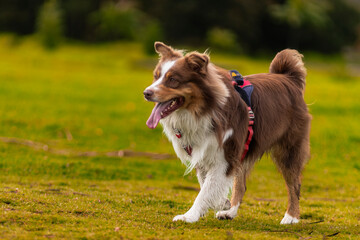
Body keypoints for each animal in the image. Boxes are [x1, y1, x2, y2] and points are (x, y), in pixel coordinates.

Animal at [142, 42, 310, 224]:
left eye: (173, 80)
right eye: (156, 76)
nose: (146, 93)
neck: (202, 110)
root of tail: (288, 78)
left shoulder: (225, 155)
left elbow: (205, 191)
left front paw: (189, 216)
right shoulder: (204, 152)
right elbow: (207, 185)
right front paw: (222, 203)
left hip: (288, 148)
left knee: (294, 185)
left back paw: (291, 217)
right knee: (241, 185)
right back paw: (230, 212)